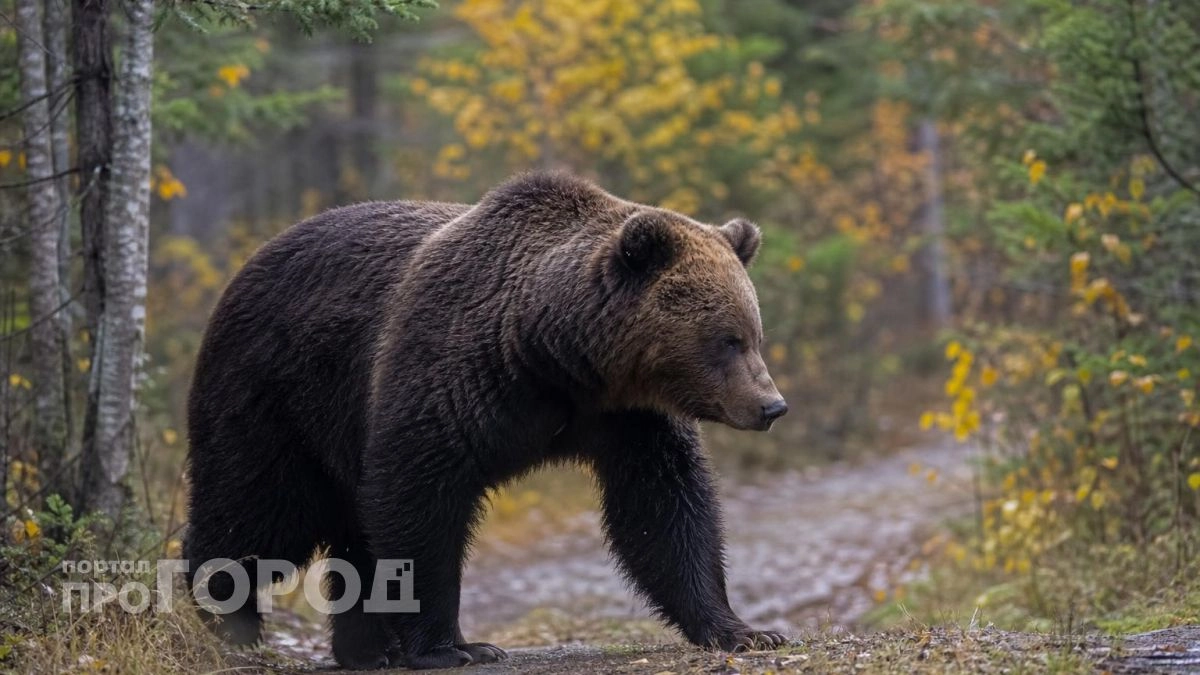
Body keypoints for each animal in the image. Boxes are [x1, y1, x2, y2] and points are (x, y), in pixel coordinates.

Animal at [184, 171, 789, 670]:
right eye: (727, 340)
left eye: (753, 334)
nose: (771, 406)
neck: (556, 356)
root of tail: (243, 271)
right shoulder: (451, 375)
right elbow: (419, 501)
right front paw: (454, 646)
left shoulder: (629, 418)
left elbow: (664, 510)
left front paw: (745, 630)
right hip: (276, 396)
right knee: (258, 510)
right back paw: (224, 623)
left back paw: (367, 650)